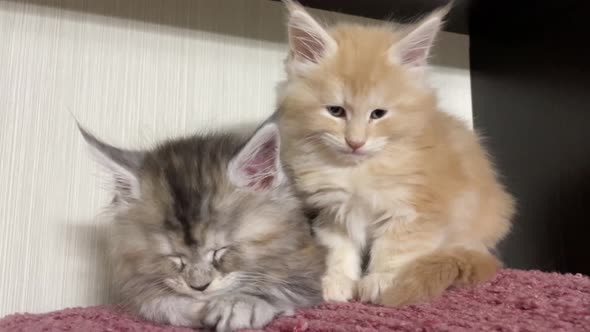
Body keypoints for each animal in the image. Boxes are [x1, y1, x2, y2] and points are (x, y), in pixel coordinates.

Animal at [78, 123, 326, 330]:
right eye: (175, 257)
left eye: (220, 251)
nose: (199, 287)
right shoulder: (135, 281)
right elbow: (153, 301)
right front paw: (186, 308)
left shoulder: (309, 270)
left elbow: (280, 288)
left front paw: (241, 304)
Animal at [276, 1, 512, 308]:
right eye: (336, 111)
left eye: (378, 114)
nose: (355, 142)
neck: (357, 170)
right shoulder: (331, 211)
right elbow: (339, 249)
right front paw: (337, 281)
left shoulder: (414, 210)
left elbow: (396, 249)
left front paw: (383, 282)